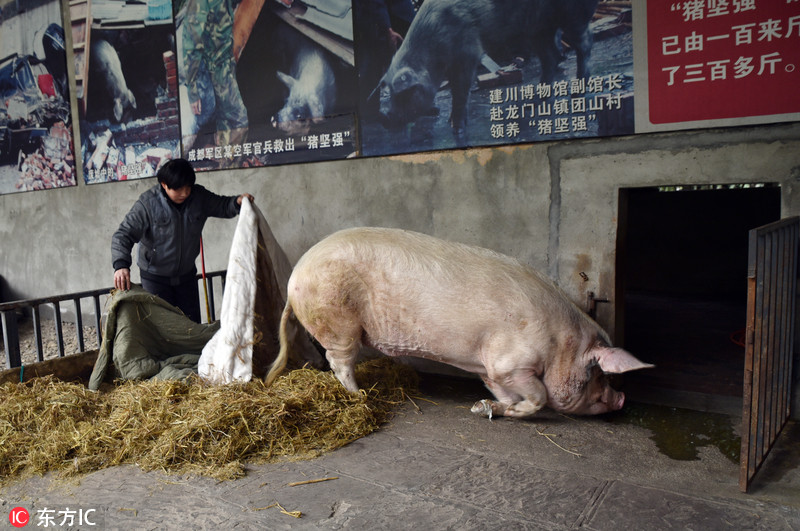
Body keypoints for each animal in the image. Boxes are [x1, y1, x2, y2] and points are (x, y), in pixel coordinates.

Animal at [266, 227, 652, 418]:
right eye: (600, 374)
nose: (621, 399)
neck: (561, 344)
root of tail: (295, 275)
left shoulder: (492, 369)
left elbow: (500, 391)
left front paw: (484, 408)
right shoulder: (512, 363)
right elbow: (540, 396)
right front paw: (509, 409)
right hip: (338, 321)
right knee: (339, 362)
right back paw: (360, 396)